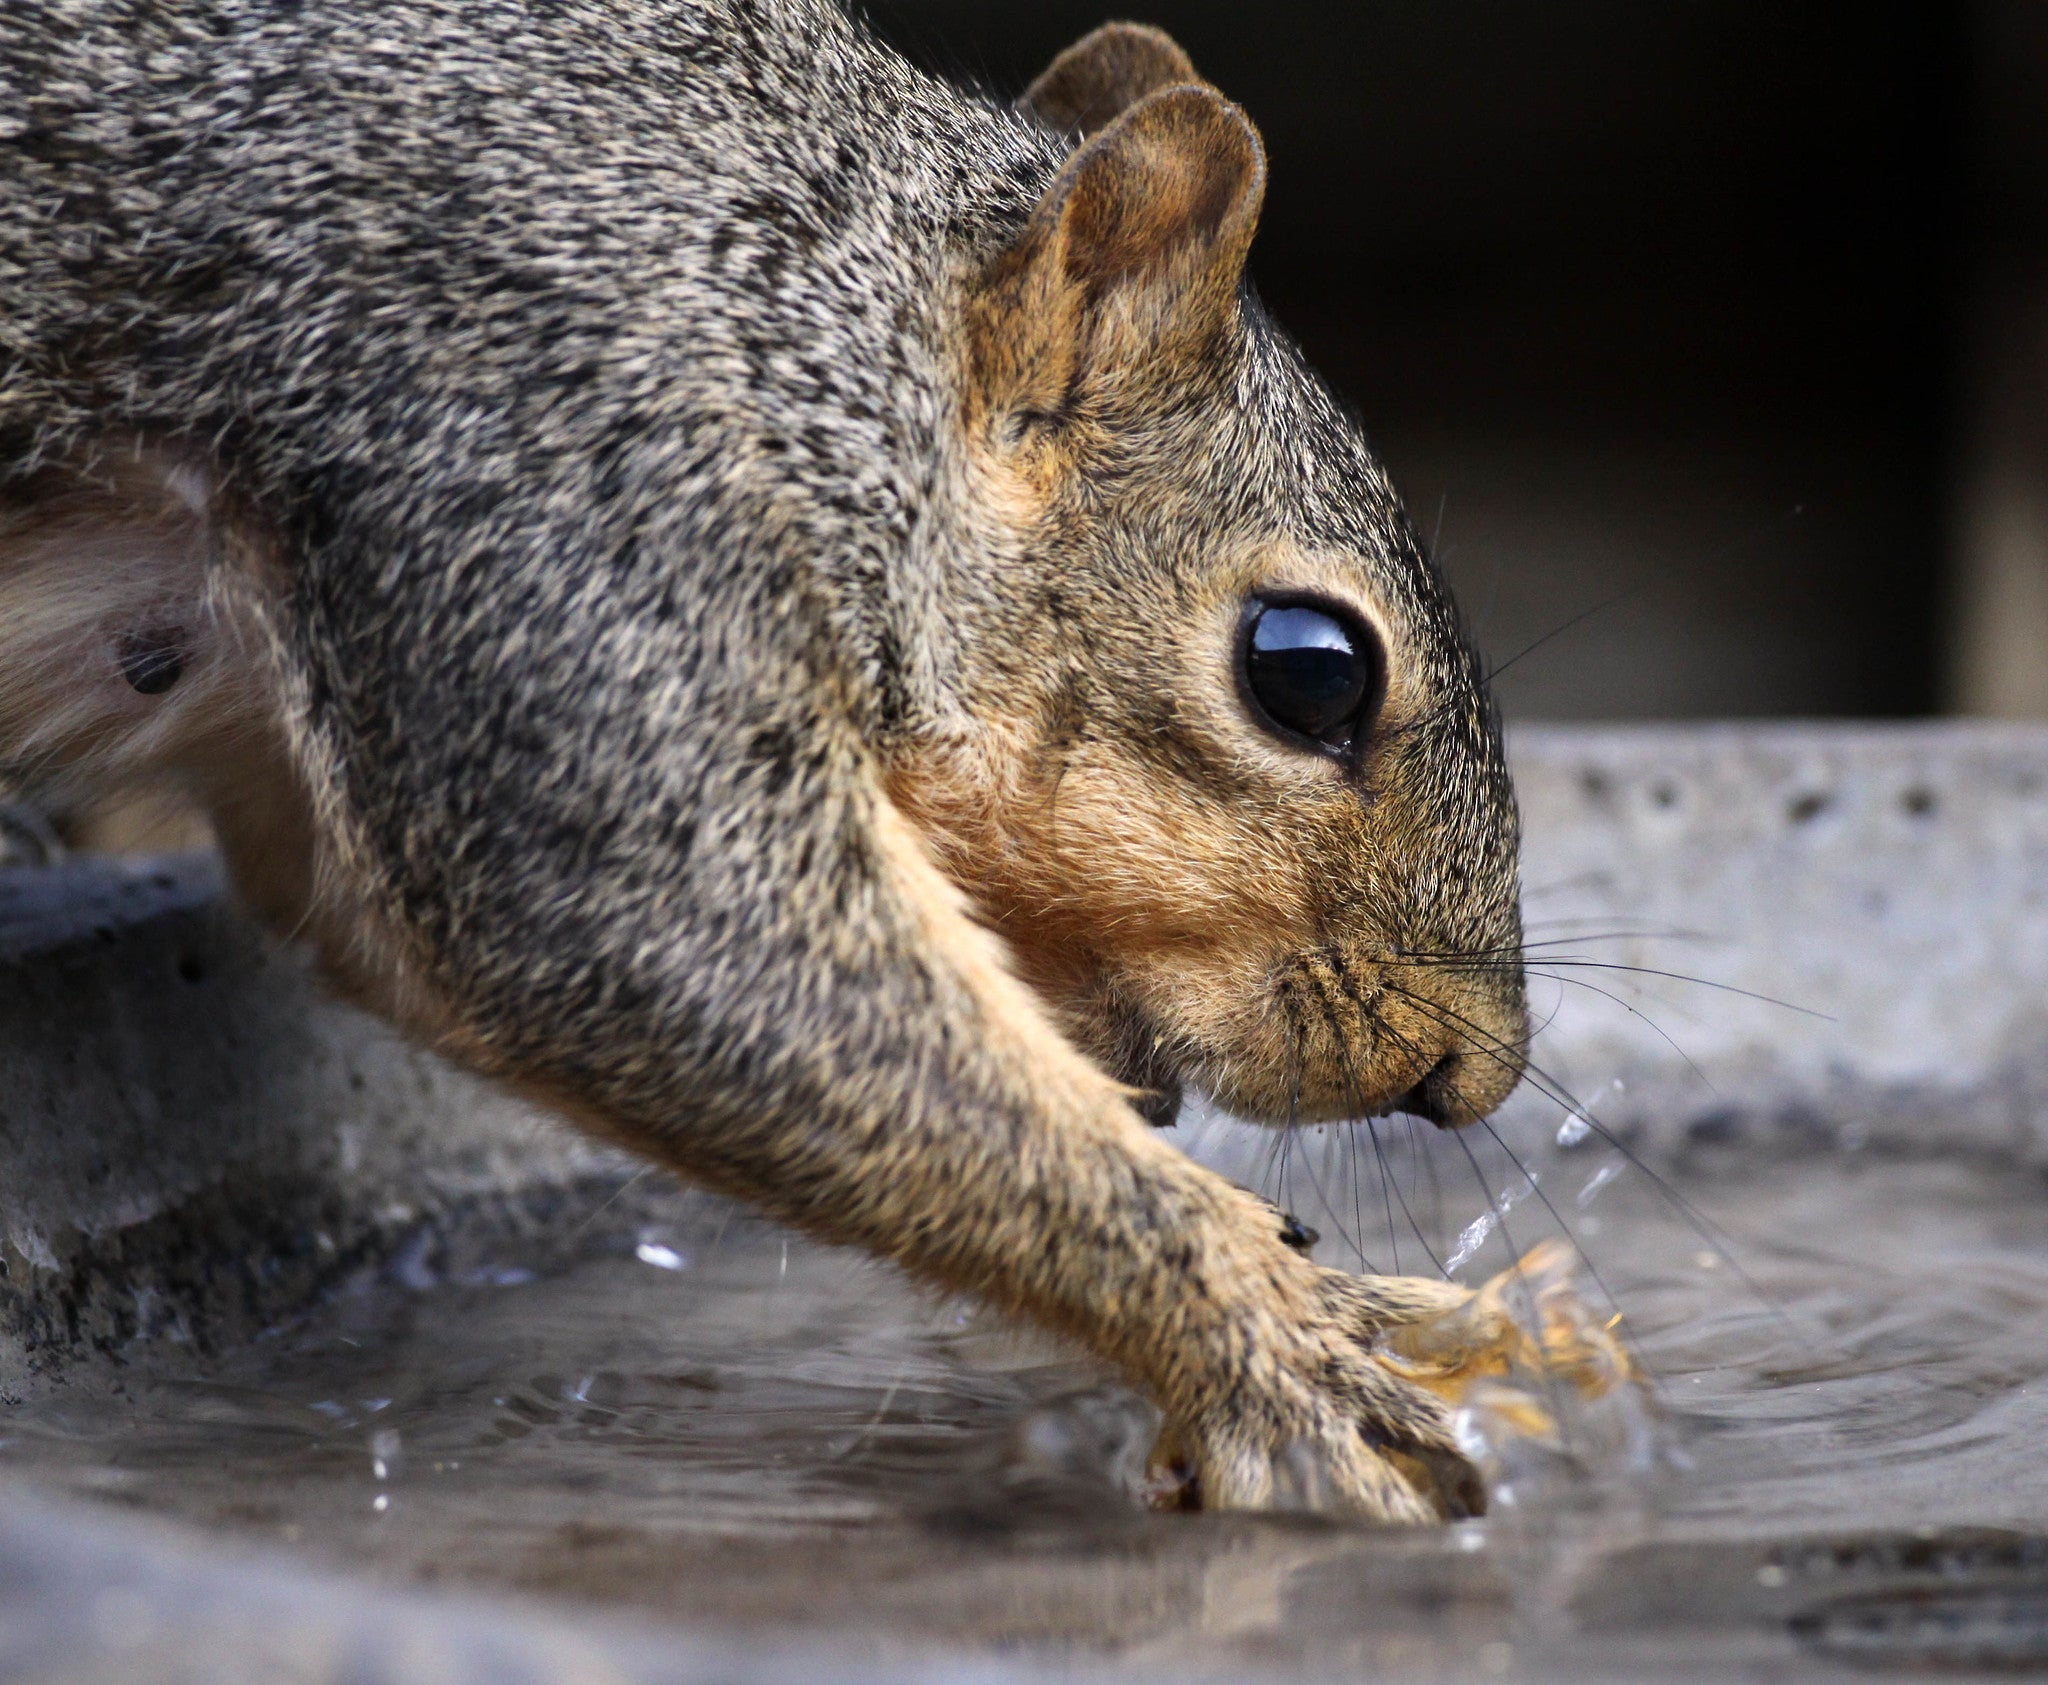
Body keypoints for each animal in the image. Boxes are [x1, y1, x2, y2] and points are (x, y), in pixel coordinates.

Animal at [0, 0, 1542, 1520]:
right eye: (1307, 670)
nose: (1468, 1072)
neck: (796, 331)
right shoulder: (553, 457)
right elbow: (675, 938)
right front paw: (1286, 1341)